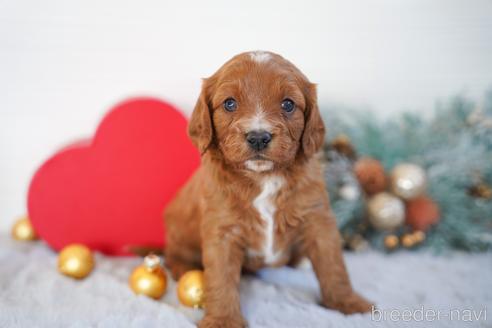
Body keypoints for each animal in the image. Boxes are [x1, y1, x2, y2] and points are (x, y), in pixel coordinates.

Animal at [163, 51, 370, 328]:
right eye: (229, 104)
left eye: (288, 105)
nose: (258, 137)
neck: (264, 178)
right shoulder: (222, 230)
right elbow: (220, 279)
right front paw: (223, 320)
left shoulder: (318, 219)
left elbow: (333, 265)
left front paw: (348, 303)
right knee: (174, 256)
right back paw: (183, 269)